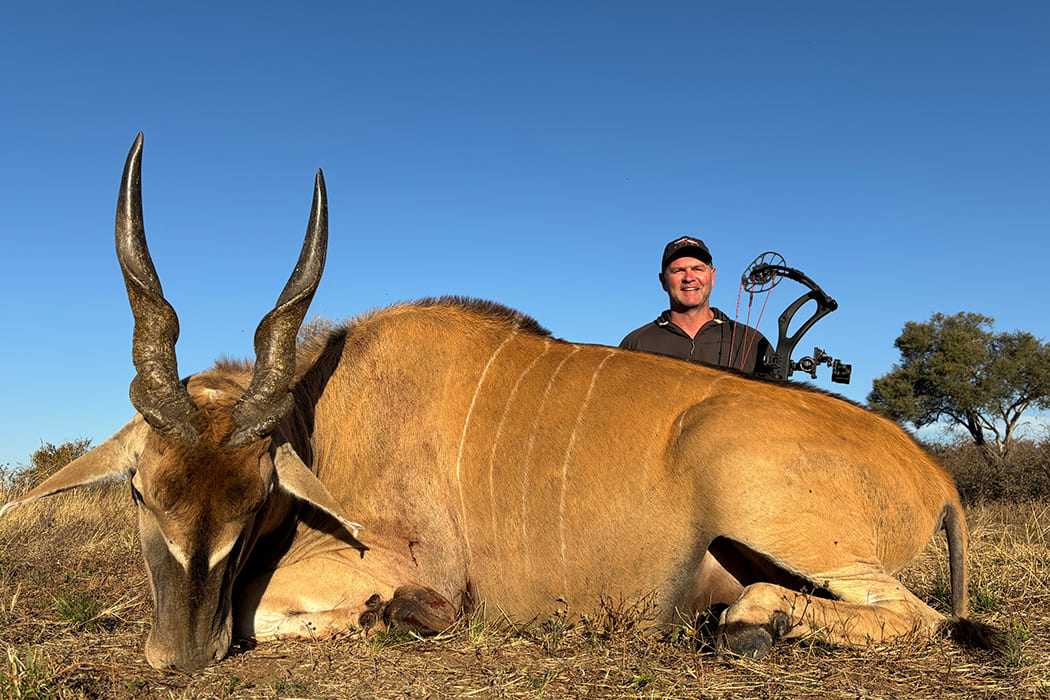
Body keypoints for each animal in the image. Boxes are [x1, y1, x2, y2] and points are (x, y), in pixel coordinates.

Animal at [2, 134, 977, 671]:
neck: (328, 412)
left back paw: (747, 623)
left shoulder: (402, 562)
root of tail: (937, 480)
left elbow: (268, 608)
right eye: (139, 492)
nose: (180, 656)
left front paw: (385, 619)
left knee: (922, 619)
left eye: (256, 500)